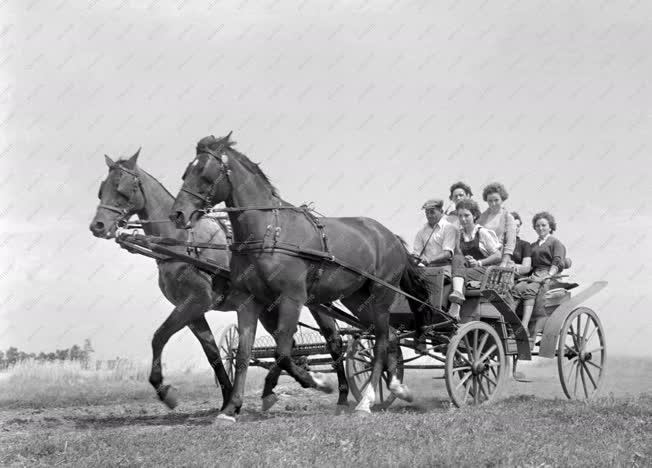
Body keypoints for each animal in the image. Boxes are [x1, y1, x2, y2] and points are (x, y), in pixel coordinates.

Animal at [90, 150, 352, 414]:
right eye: (101, 189)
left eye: (121, 188)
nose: (97, 226)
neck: (183, 241)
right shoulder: (192, 311)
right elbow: (213, 355)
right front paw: (228, 400)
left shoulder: (197, 301)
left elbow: (159, 336)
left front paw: (165, 391)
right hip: (270, 308)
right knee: (289, 344)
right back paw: (278, 388)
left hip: (314, 303)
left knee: (333, 342)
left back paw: (341, 393)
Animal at [171, 133, 430, 420]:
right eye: (186, 172)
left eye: (206, 173)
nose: (178, 214)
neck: (269, 232)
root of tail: (389, 236)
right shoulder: (249, 301)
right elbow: (244, 354)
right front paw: (230, 409)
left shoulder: (292, 298)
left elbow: (283, 352)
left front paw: (318, 381)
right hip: (357, 299)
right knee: (391, 336)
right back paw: (397, 387)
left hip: (382, 295)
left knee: (382, 342)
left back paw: (366, 401)